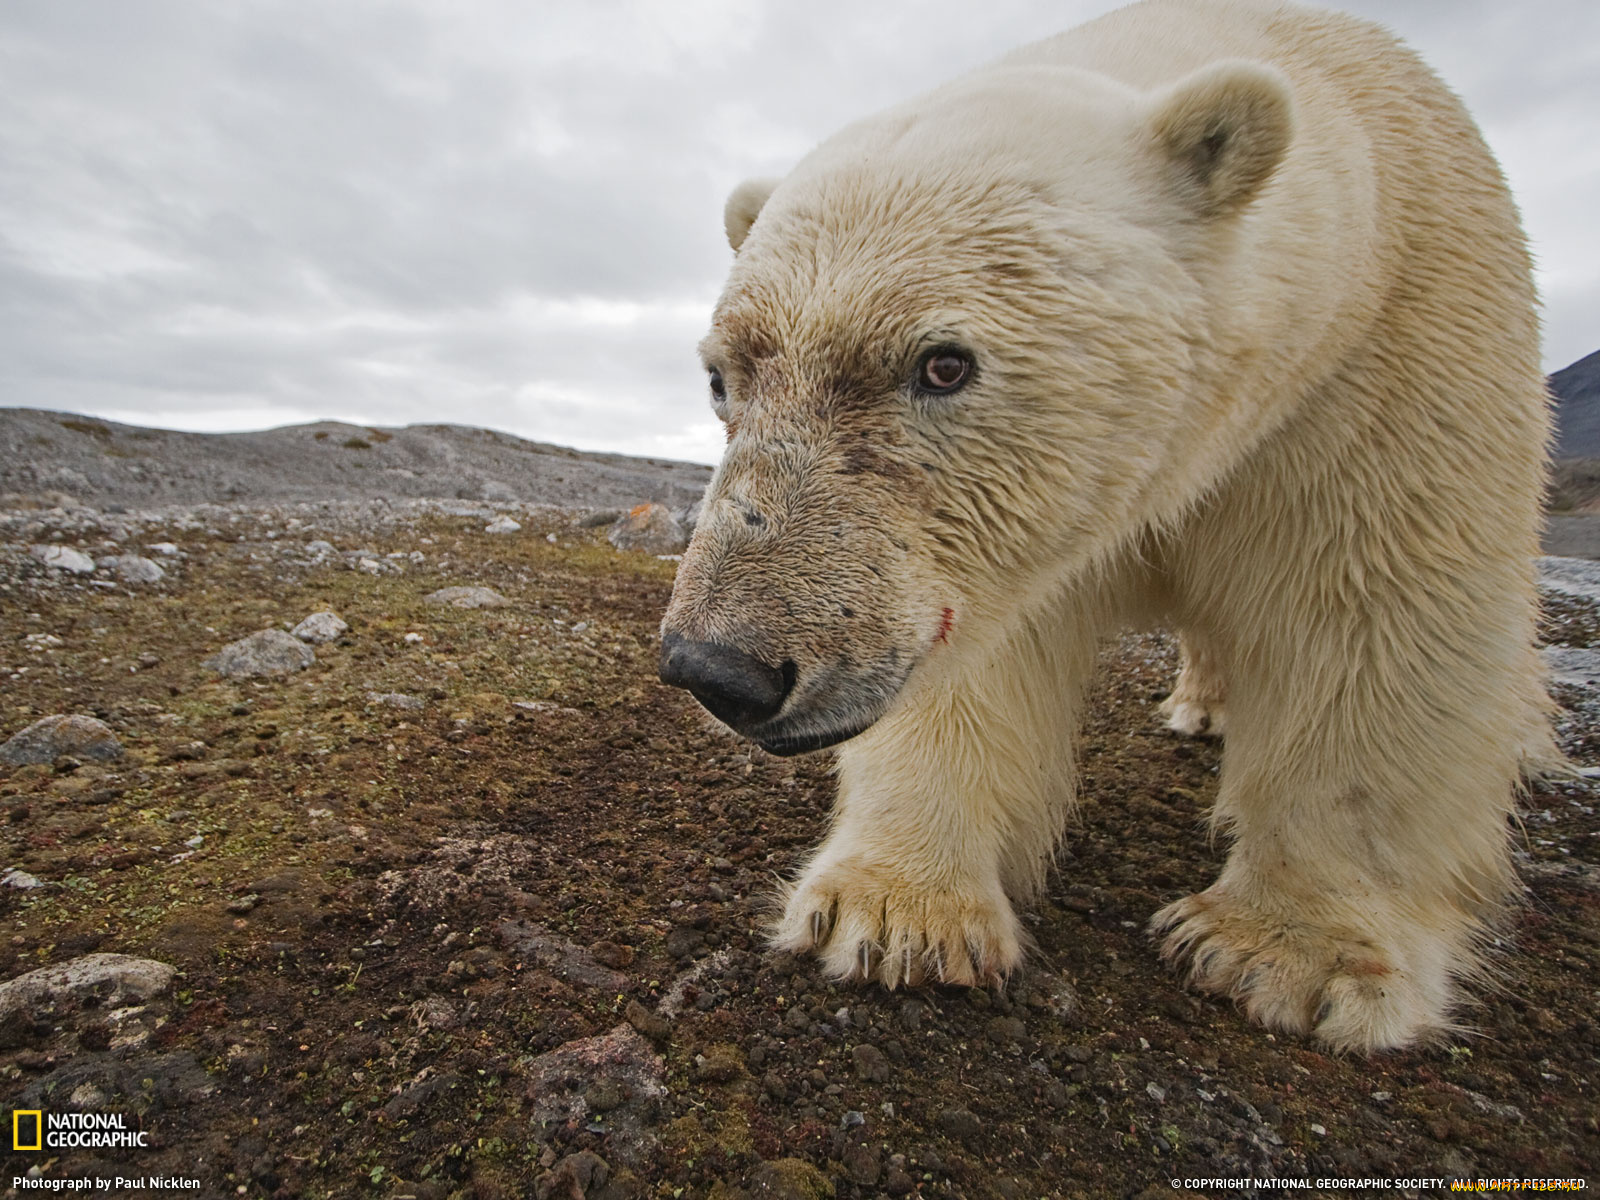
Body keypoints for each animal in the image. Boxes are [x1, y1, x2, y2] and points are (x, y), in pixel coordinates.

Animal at [656, 0, 1555, 1049]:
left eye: (943, 363)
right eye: (723, 378)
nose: (720, 668)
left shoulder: (1384, 362)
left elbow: (1376, 618)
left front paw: (1293, 956)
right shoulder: (1007, 539)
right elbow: (986, 656)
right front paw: (893, 912)